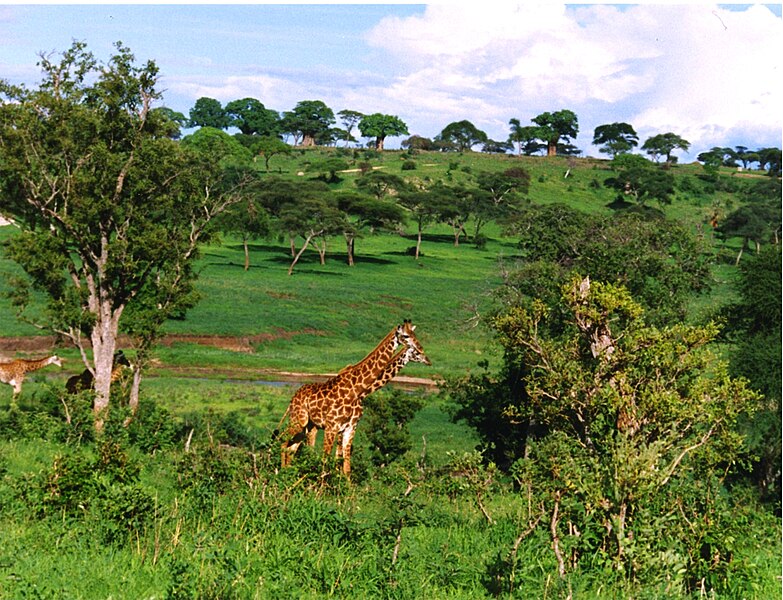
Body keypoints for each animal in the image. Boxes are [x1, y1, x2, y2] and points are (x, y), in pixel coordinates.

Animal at [280, 318, 428, 478]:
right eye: (406, 336)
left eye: (414, 334)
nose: (425, 356)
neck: (358, 391)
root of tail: (293, 398)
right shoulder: (332, 427)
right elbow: (327, 462)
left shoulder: (349, 428)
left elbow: (345, 467)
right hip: (299, 421)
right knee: (284, 443)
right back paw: (280, 474)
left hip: (307, 426)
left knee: (293, 448)